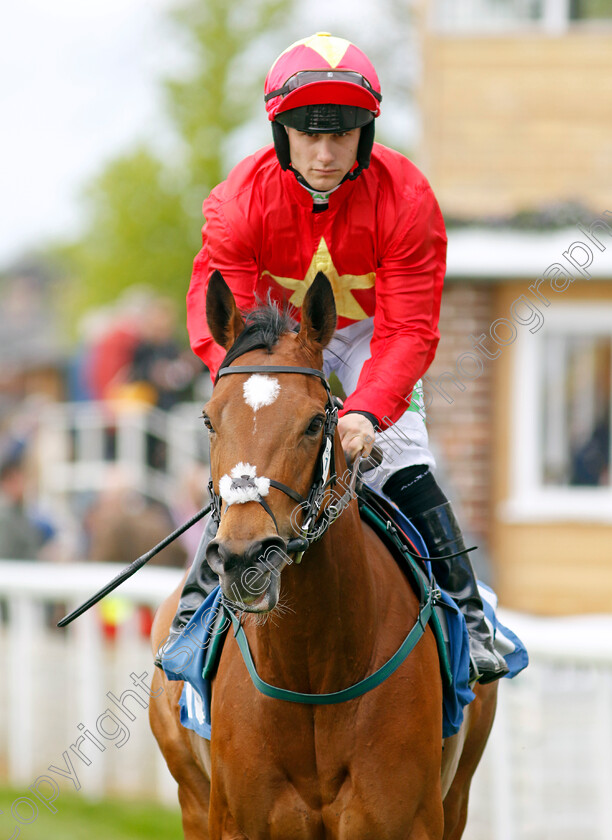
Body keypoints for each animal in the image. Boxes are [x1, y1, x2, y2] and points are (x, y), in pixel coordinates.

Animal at [149, 272, 498, 836]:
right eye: (208, 420)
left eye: (315, 423)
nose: (245, 558)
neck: (312, 667)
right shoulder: (235, 819)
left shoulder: (408, 820)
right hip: (191, 795)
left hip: (460, 793)